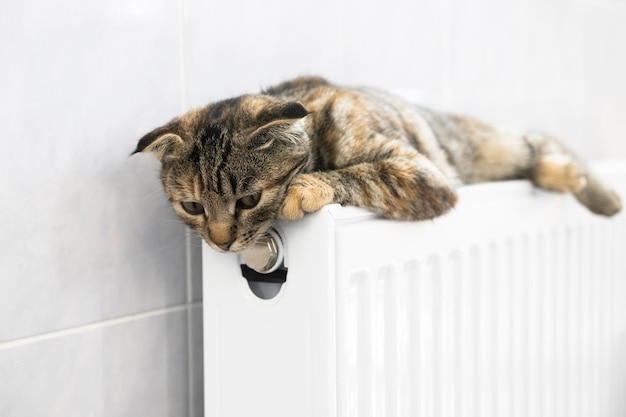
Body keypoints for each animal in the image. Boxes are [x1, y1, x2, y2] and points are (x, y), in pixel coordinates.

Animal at [132, 75, 620, 252]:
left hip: (489, 148)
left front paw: (306, 188)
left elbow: (363, 173)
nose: (220, 243)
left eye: (249, 200)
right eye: (193, 207)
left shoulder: (422, 173)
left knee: (537, 142)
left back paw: (593, 188)